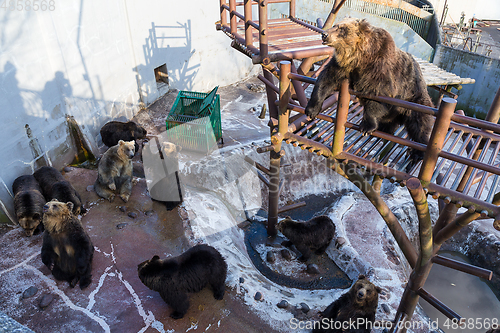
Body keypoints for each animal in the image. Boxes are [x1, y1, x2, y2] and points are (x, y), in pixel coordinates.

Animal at [304, 17, 434, 165]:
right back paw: (385, 128)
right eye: (335, 25)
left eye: (342, 29)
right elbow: (326, 80)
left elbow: (377, 96)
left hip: (414, 98)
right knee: (392, 121)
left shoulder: (379, 69)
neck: (359, 57)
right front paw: (312, 109)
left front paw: (367, 126)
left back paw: (417, 152)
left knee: (420, 124)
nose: (324, 34)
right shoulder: (343, 66)